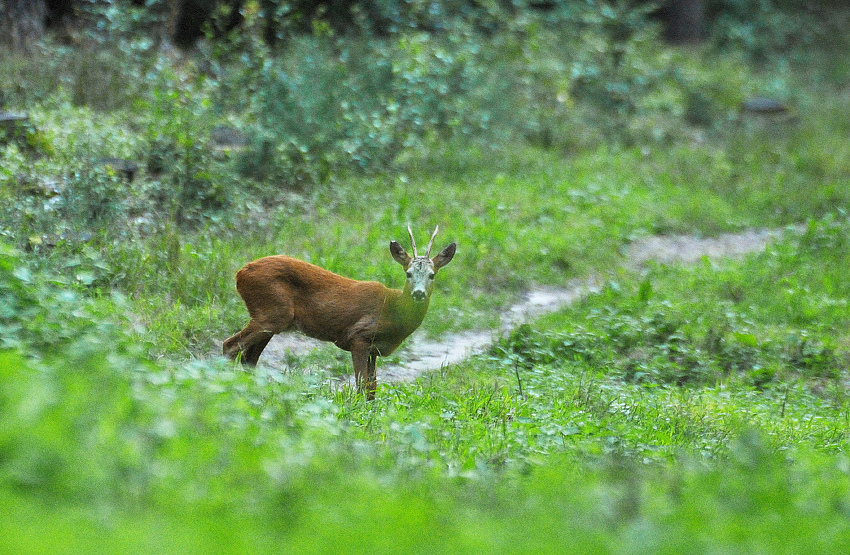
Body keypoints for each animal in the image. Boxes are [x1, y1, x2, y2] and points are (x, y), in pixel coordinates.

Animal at [222, 226, 454, 400]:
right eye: (408, 273)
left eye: (432, 275)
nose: (418, 293)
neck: (392, 310)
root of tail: (240, 274)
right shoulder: (359, 336)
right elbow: (361, 384)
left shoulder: (373, 350)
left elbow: (372, 388)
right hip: (272, 313)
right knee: (230, 345)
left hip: (270, 319)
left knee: (249, 360)